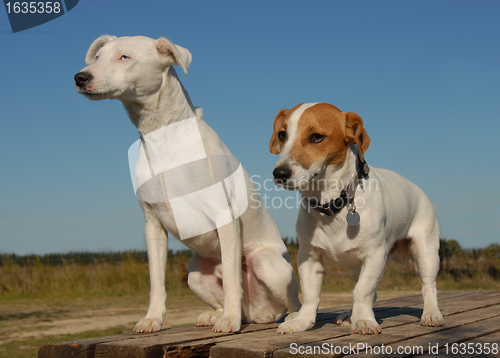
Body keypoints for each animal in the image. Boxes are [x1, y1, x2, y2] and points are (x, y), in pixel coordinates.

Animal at [74, 35, 300, 332]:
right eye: (98, 57)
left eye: (125, 57)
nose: (80, 77)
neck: (161, 136)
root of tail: (258, 311)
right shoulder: (153, 225)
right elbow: (156, 280)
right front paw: (152, 318)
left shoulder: (225, 216)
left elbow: (231, 278)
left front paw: (229, 321)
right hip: (195, 274)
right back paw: (216, 315)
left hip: (267, 265)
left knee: (290, 301)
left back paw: (282, 317)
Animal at [268, 103, 444, 336]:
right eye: (282, 134)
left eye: (316, 137)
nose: (279, 173)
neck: (332, 205)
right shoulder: (309, 256)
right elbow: (311, 295)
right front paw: (302, 321)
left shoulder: (375, 255)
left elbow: (361, 292)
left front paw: (363, 321)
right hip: (356, 267)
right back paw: (347, 316)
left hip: (426, 252)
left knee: (428, 286)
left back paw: (431, 314)